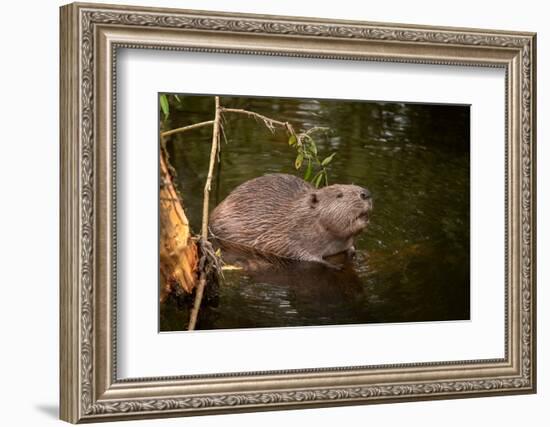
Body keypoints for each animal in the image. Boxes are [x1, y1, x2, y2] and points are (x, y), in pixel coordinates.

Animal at [209, 174, 374, 268]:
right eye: (339, 195)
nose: (366, 193)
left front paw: (354, 253)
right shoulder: (285, 236)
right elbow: (300, 255)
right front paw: (332, 265)